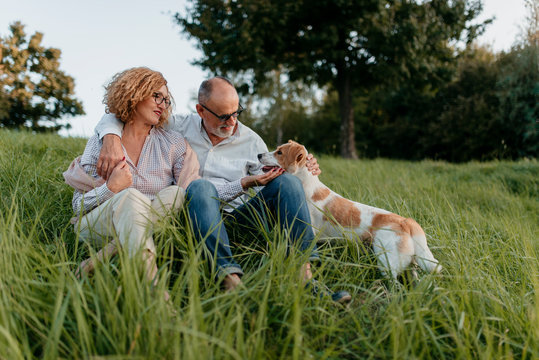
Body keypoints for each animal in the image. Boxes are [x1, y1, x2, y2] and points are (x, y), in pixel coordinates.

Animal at [258, 140, 442, 278]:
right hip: (412, 265)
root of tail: (405, 222)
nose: (259, 155)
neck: (306, 184)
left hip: (387, 264)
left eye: (279, 152)